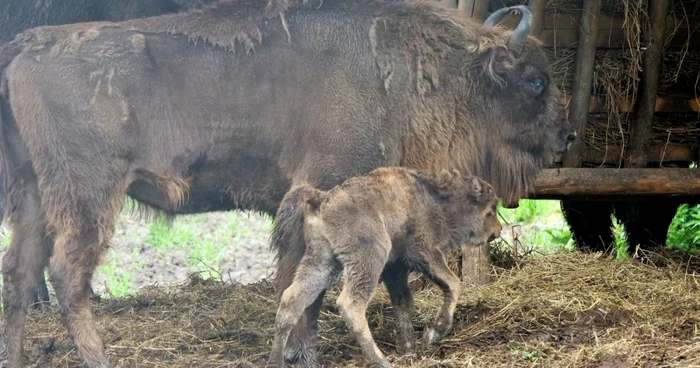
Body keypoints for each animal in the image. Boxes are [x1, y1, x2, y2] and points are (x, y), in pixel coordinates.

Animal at [268, 167, 504, 368]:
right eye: (491, 209)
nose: (498, 230)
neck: (434, 197)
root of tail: (322, 199)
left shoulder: (395, 268)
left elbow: (404, 303)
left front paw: (409, 348)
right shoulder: (423, 252)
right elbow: (454, 283)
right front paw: (433, 334)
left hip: (322, 262)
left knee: (291, 300)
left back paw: (275, 361)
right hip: (369, 258)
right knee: (350, 304)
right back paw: (381, 361)